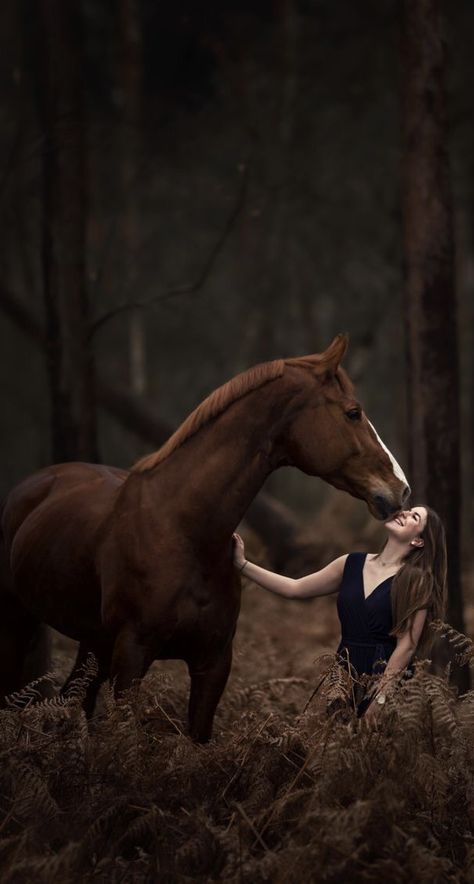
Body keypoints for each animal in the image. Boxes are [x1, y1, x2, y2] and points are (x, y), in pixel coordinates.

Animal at [0, 334, 408, 744]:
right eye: (353, 412)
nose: (401, 489)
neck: (183, 530)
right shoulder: (131, 656)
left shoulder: (213, 662)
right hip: (22, 623)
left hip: (93, 642)